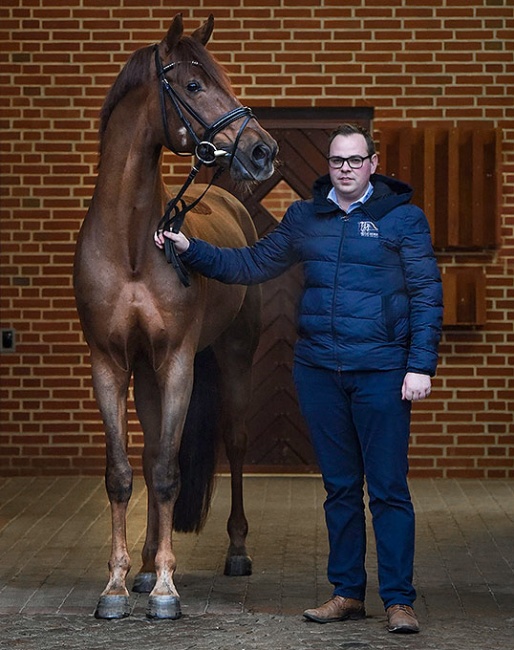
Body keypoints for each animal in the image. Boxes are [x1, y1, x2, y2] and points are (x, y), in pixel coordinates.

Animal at [72, 13, 276, 616]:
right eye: (193, 85)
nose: (263, 150)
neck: (133, 247)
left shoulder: (178, 361)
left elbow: (167, 472)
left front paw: (165, 587)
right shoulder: (110, 362)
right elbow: (124, 473)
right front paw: (118, 584)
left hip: (233, 358)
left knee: (233, 443)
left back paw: (235, 551)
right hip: (145, 375)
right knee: (150, 451)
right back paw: (141, 567)